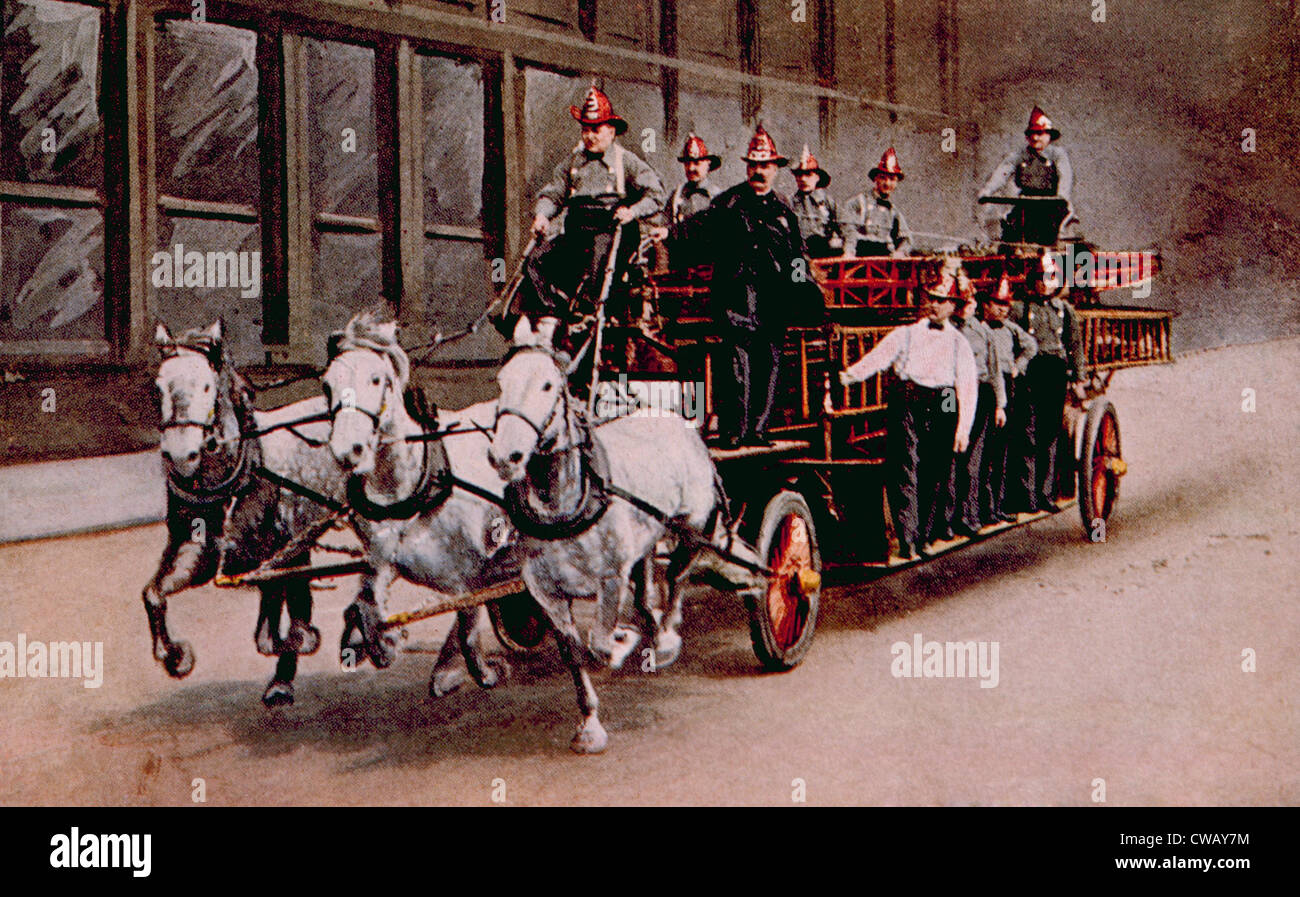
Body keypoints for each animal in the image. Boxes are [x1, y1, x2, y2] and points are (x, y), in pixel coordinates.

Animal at [321, 310, 522, 696]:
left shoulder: (470, 574)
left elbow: (468, 626)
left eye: (376, 379)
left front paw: (478, 670)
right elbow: (366, 602)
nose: (348, 450)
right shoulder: (384, 561)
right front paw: (375, 640)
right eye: (327, 385)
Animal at [488, 318, 733, 748]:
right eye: (502, 382)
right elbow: (573, 653)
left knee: (677, 576)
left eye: (548, 385)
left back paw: (665, 636)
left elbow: (599, 643)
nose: (506, 456)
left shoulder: (609, 579)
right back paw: (652, 623)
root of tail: (674, 418)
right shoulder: (545, 592)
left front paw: (623, 642)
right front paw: (589, 723)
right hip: (646, 537)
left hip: (692, 525)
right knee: (647, 583)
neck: (565, 506)